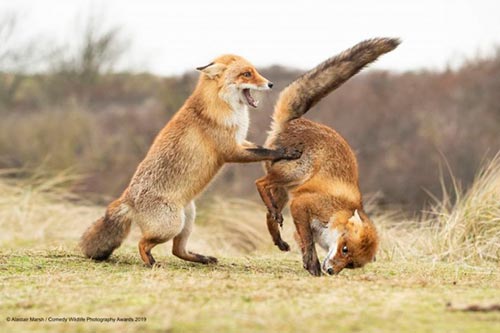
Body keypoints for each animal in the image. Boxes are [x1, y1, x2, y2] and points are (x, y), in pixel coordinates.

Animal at [81, 55, 300, 268]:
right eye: (247, 74)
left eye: (255, 71)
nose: (270, 84)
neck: (222, 106)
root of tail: (127, 198)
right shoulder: (231, 151)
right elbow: (265, 152)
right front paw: (286, 152)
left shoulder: (240, 142)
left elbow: (260, 147)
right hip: (171, 226)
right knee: (142, 243)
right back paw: (151, 263)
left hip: (188, 219)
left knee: (177, 250)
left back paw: (203, 259)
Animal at [256, 37, 400, 274]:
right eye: (344, 249)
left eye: (350, 264)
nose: (332, 271)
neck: (337, 213)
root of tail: (295, 121)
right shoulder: (302, 204)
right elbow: (308, 241)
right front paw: (313, 265)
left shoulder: (299, 213)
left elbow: (302, 240)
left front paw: (308, 263)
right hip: (295, 173)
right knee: (260, 183)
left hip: (284, 192)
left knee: (269, 213)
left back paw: (278, 238)